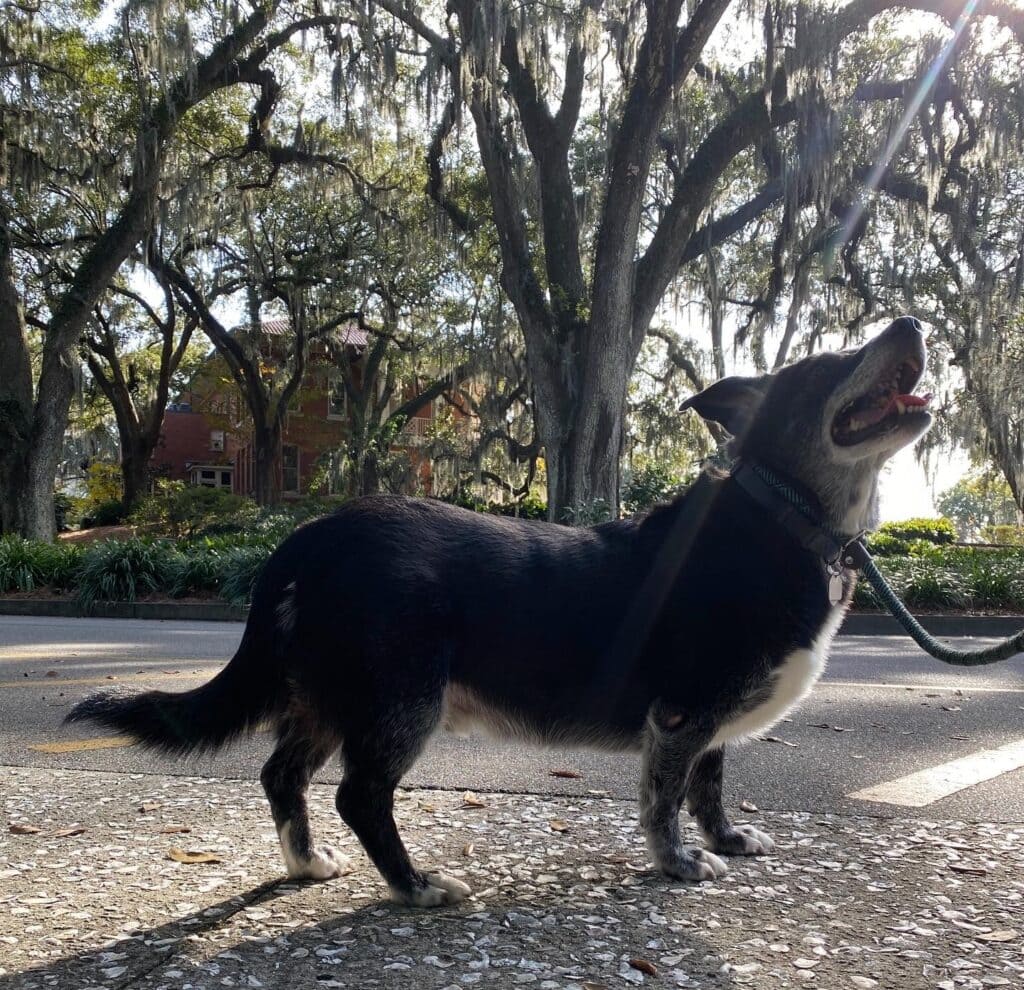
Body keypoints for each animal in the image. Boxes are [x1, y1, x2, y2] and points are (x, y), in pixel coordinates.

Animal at [68, 315, 937, 905]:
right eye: (829, 364)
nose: (910, 324)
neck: (784, 512)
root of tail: (310, 536)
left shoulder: (713, 725)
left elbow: (710, 786)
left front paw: (725, 837)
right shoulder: (681, 717)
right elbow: (665, 799)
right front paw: (680, 862)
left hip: (328, 697)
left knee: (282, 776)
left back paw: (306, 864)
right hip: (398, 700)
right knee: (358, 796)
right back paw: (416, 885)